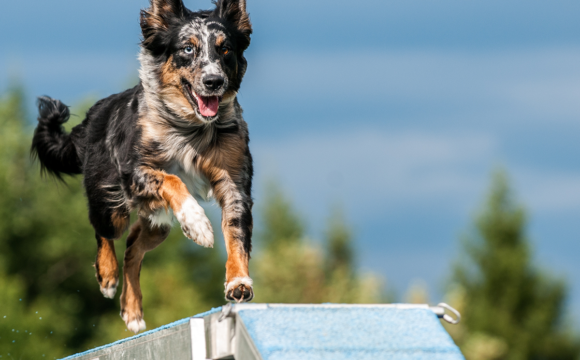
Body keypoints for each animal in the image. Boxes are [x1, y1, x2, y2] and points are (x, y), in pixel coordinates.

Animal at [30, 0, 254, 334]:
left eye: (225, 49)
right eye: (187, 48)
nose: (214, 82)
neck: (191, 129)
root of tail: (93, 116)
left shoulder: (234, 181)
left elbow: (236, 234)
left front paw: (238, 282)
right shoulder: (134, 171)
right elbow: (173, 180)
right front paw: (198, 224)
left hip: (157, 223)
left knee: (132, 246)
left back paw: (132, 311)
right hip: (111, 205)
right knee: (105, 232)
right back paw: (108, 277)